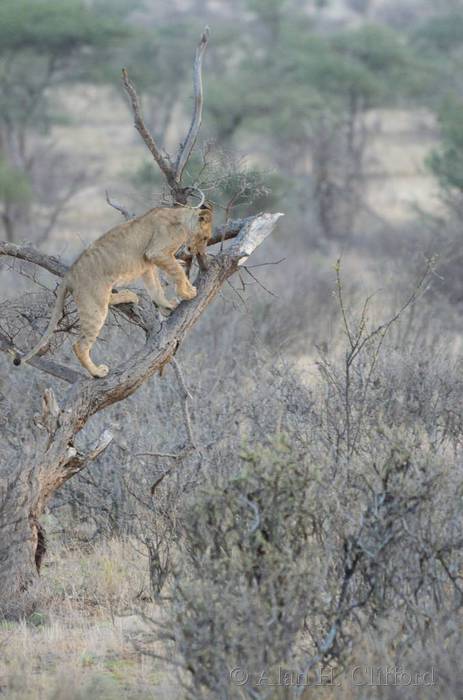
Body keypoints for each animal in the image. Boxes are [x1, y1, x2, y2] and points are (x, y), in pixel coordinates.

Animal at [14, 200, 213, 378]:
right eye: (205, 238)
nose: (199, 252)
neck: (181, 218)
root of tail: (69, 274)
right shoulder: (157, 252)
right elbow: (178, 271)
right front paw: (188, 292)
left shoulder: (148, 265)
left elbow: (155, 288)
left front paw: (167, 305)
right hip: (94, 307)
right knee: (80, 346)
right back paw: (97, 372)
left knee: (108, 300)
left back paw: (130, 295)